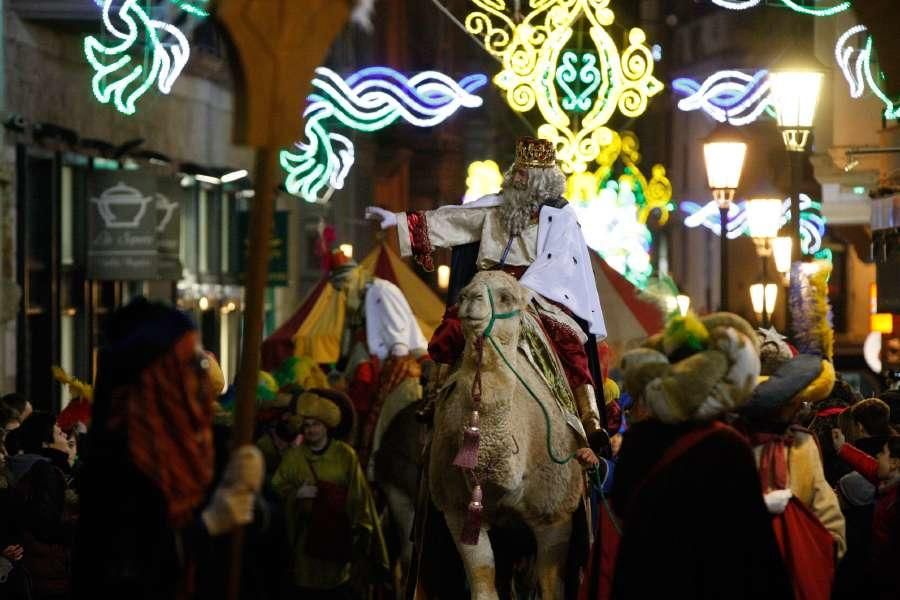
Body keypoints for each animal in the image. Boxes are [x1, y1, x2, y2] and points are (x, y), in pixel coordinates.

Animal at [428, 274, 584, 600]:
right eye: (462, 293)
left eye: (506, 297)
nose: (470, 298)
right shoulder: (457, 509)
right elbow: (483, 583)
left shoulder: (555, 514)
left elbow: (551, 590)